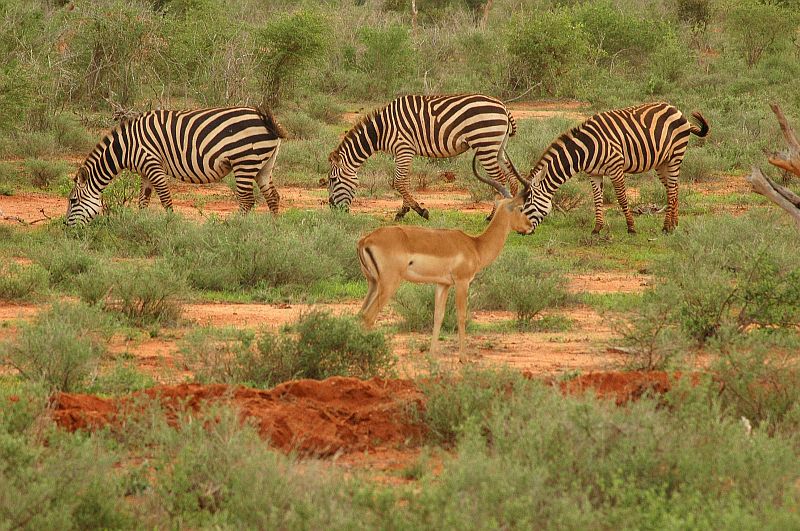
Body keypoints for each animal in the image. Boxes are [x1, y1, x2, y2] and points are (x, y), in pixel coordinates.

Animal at [65, 107, 286, 225]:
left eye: (73, 201)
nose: (66, 227)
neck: (126, 147)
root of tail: (264, 118)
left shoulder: (152, 163)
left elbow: (165, 199)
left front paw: (170, 223)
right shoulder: (145, 172)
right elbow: (143, 200)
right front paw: (140, 222)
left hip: (244, 162)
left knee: (247, 201)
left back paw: (234, 227)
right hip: (264, 165)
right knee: (272, 197)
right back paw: (273, 229)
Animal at [324, 93, 520, 220]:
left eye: (333, 180)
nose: (332, 208)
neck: (381, 131)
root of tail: (503, 107)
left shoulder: (403, 148)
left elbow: (399, 182)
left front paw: (421, 211)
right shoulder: (403, 152)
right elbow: (405, 181)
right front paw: (403, 212)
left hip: (485, 144)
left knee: (500, 179)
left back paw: (492, 216)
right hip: (497, 147)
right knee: (511, 176)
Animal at [520, 102, 712, 235]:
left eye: (527, 204)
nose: (521, 232)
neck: (585, 149)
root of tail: (677, 110)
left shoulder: (615, 167)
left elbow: (621, 198)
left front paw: (631, 227)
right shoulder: (594, 174)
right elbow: (597, 200)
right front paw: (597, 228)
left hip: (675, 156)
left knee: (672, 190)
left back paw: (666, 227)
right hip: (662, 162)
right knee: (674, 188)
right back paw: (674, 224)